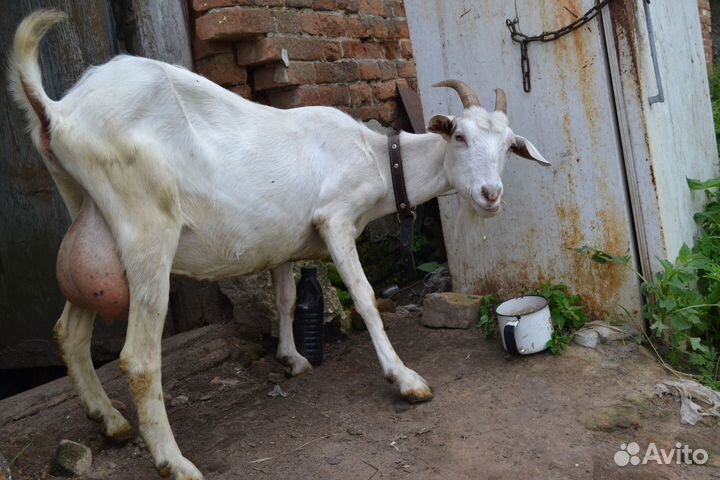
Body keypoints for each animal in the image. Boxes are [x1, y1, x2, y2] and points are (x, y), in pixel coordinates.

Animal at [9, 10, 550, 480]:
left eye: (508, 148)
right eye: (458, 136)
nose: (491, 195)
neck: (378, 157)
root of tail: (59, 112)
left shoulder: (286, 243)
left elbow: (287, 300)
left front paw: (292, 360)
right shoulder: (335, 220)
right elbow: (365, 298)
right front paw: (406, 379)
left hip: (92, 227)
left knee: (69, 332)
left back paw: (111, 422)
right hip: (147, 232)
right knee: (138, 359)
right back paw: (174, 462)